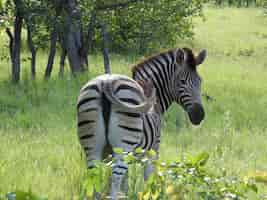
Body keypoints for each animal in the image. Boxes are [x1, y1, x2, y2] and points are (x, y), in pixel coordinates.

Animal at [77, 47, 207, 198]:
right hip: (124, 146)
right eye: (182, 82)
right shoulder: (153, 149)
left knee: (95, 178)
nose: (199, 115)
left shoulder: (111, 155)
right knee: (116, 178)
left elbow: (124, 184)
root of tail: (106, 83)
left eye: (200, 81)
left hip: (92, 147)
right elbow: (148, 180)